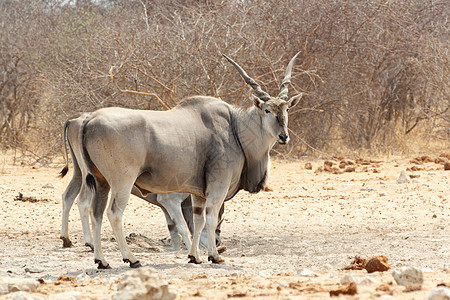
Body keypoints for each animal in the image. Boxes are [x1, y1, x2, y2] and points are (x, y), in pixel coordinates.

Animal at [81, 52, 302, 268]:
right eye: (267, 110)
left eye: (286, 110)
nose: (284, 136)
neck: (234, 127)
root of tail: (90, 119)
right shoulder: (218, 186)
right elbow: (210, 218)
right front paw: (214, 256)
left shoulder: (198, 194)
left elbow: (198, 221)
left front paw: (194, 257)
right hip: (122, 182)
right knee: (114, 213)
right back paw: (132, 259)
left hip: (101, 182)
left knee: (96, 213)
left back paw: (101, 261)